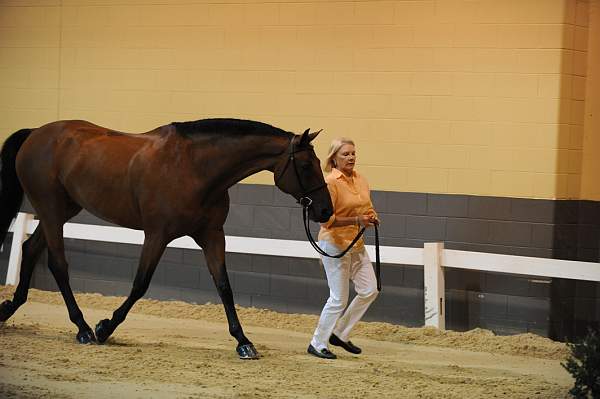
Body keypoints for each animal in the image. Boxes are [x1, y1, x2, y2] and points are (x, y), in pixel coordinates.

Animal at [0, 118, 332, 360]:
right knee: (58, 265)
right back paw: (82, 328)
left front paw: (243, 342)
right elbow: (140, 284)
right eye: (306, 166)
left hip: (62, 210)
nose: (325, 210)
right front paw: (105, 328)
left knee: (30, 249)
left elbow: (224, 286)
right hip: (51, 208)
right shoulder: (157, 235)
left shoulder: (212, 236)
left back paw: (9, 308)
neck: (195, 169)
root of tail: (36, 133)